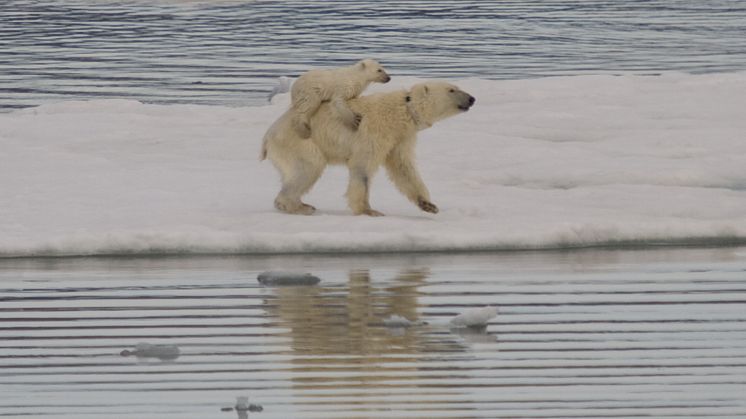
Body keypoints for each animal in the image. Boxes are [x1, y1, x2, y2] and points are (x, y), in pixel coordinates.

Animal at [258, 81, 474, 217]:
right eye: (452, 90)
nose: (472, 98)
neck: (401, 112)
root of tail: (267, 137)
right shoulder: (376, 131)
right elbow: (362, 167)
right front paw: (369, 211)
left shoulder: (401, 138)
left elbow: (403, 168)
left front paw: (429, 205)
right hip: (300, 142)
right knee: (309, 167)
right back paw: (297, 206)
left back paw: (301, 203)